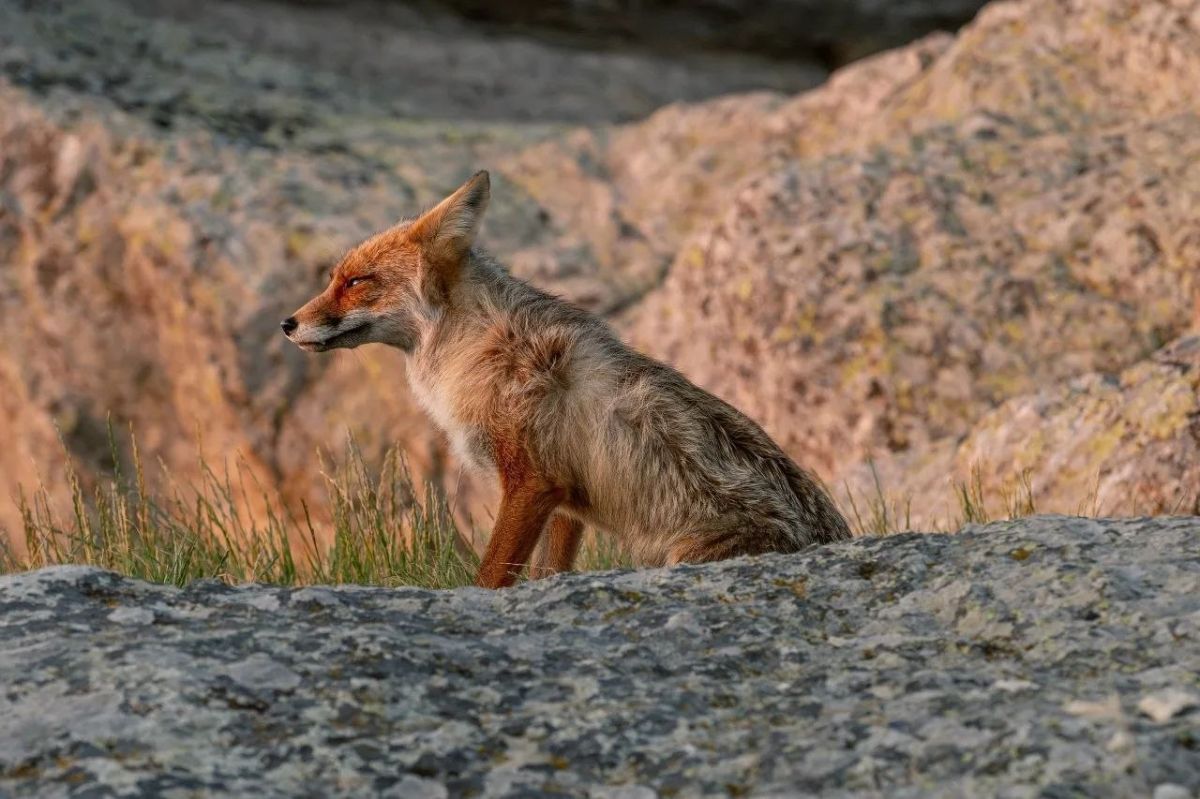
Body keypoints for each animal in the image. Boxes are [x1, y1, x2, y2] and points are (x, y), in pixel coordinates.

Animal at [282, 171, 851, 588]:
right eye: (334, 279)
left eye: (357, 282)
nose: (287, 324)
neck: (475, 348)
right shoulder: (564, 498)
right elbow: (546, 572)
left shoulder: (532, 479)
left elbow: (490, 575)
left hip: (680, 556)